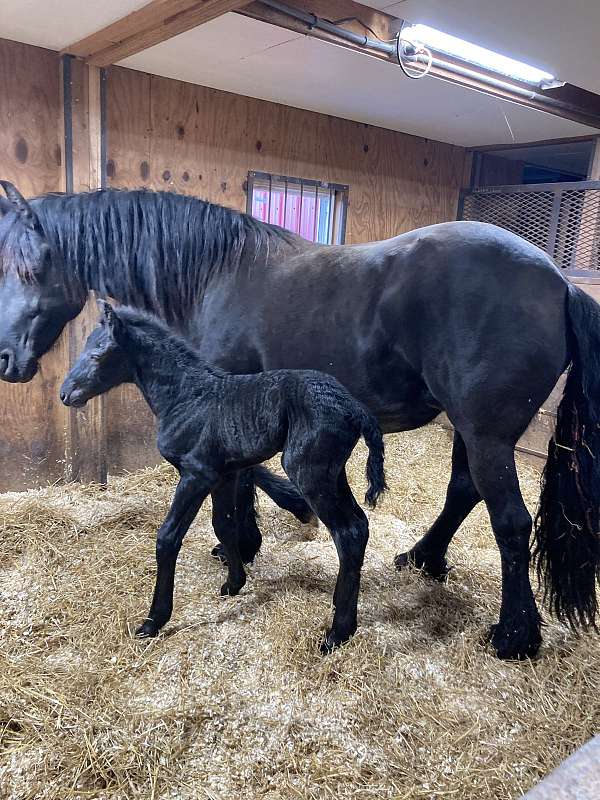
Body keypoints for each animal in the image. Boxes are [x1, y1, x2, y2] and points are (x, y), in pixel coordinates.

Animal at [61, 300, 386, 648]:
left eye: (97, 354)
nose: (65, 394)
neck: (185, 396)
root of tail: (354, 407)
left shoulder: (196, 474)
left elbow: (168, 538)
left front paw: (154, 621)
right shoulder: (225, 475)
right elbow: (225, 525)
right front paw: (234, 583)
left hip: (309, 473)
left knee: (347, 532)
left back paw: (337, 633)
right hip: (332, 474)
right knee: (360, 525)